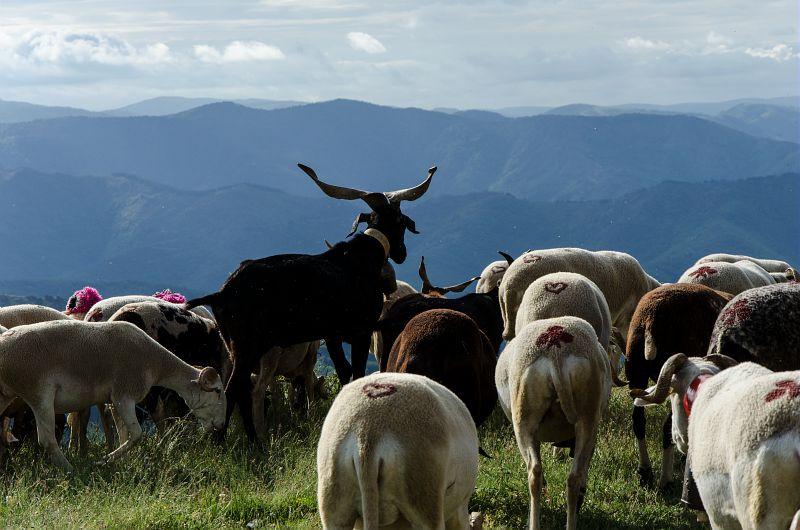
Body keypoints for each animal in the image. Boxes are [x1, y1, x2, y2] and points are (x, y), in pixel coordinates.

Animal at [0, 320, 225, 471]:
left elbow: (124, 433)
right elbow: (137, 434)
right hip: (39, 392)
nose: (221, 426)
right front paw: (104, 460)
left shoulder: (114, 401)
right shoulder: (123, 395)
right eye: (217, 391)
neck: (156, 364)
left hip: (6, 394)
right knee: (47, 440)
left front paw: (122, 460)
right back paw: (71, 470)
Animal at [185, 163, 435, 440]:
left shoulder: (332, 335)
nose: (402, 253)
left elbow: (344, 372)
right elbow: (357, 372)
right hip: (247, 344)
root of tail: (221, 294)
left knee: (240, 390)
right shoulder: (360, 332)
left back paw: (252, 442)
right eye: (401, 221)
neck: (362, 259)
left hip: (236, 345)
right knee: (234, 389)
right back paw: (229, 442)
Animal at [496, 316, 611, 530]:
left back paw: (534, 524)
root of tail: (556, 350)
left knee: (535, 473)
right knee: (572, 478)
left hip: (523, 421)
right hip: (587, 417)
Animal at [624, 283, 733, 487]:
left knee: (638, 419)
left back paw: (645, 471)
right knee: (668, 426)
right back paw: (665, 479)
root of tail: (651, 317)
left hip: (636, 369)